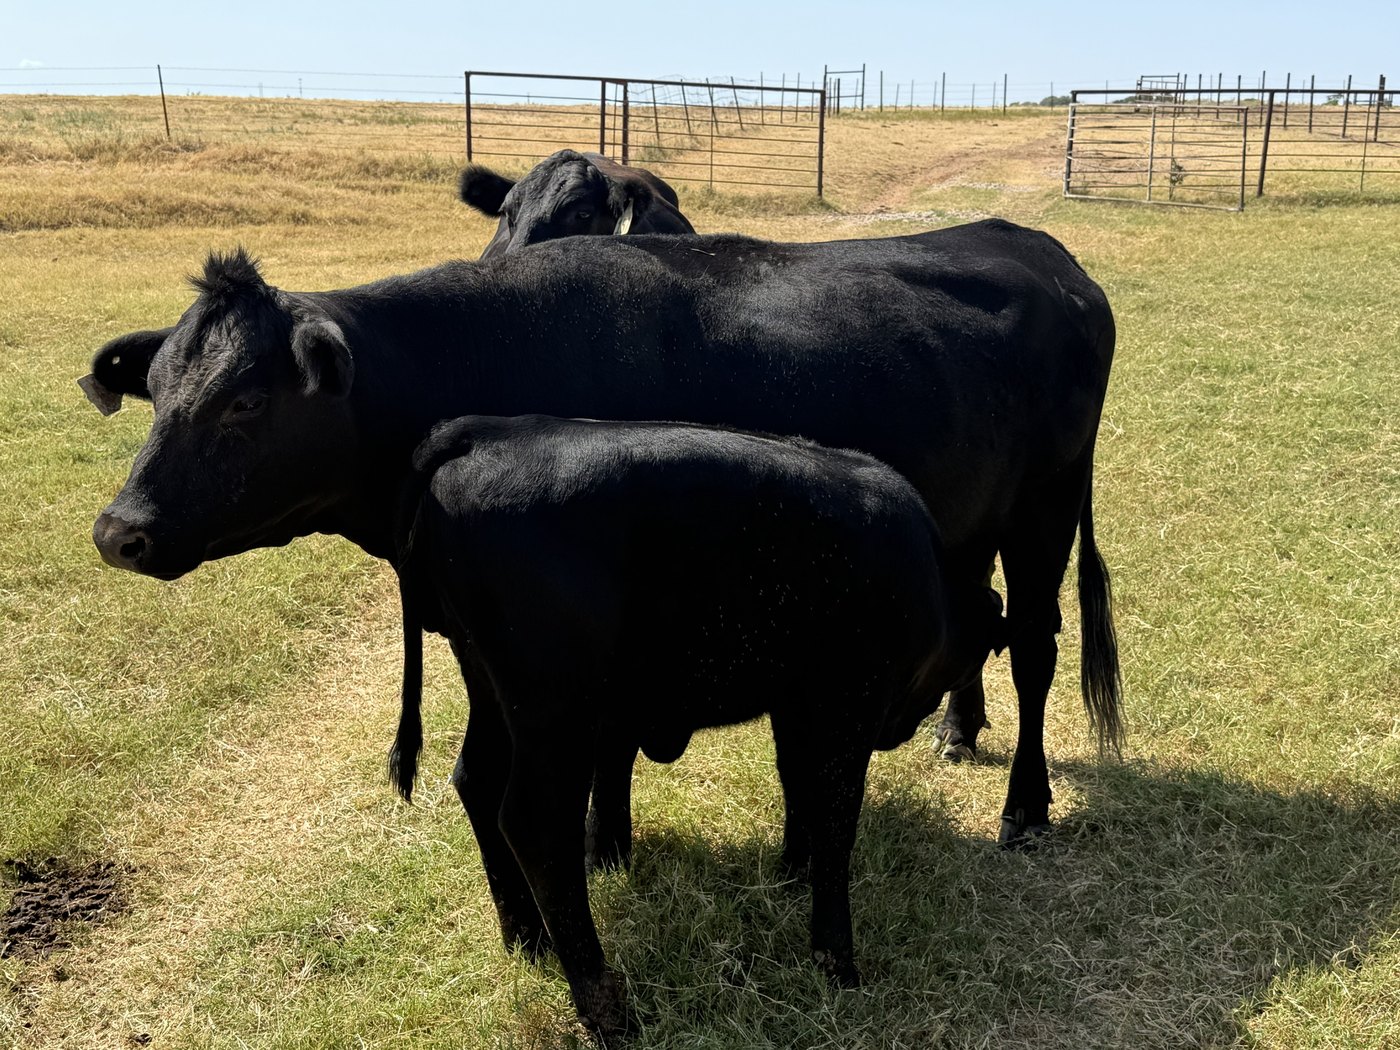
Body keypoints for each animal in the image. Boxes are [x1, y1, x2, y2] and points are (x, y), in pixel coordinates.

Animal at [86, 221, 1121, 865]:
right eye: (160, 389)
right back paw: (958, 730)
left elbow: (610, 740)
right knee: (979, 616)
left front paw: (601, 842)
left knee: (1035, 643)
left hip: (1046, 506)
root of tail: (1037, 248)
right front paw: (608, 841)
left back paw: (1025, 808)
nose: (118, 529)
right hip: (972, 516)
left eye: (245, 401)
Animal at [389, 412, 1008, 1035]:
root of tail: (483, 431)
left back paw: (530, 942)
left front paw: (791, 874)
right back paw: (607, 1010)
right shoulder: (849, 703)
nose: (899, 733)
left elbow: (797, 785)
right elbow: (836, 819)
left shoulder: (794, 700)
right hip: (555, 707)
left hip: (490, 686)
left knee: (477, 779)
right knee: (535, 824)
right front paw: (837, 962)